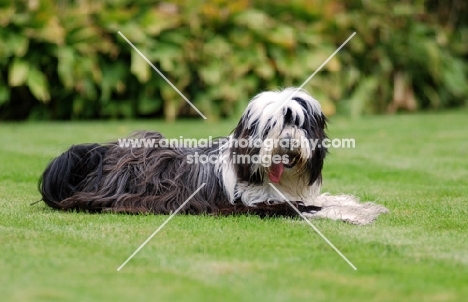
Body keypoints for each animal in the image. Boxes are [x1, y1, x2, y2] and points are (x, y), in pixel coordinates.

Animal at [37, 87, 388, 222]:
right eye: (272, 126)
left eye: (298, 124)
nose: (287, 142)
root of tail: (101, 154)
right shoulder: (260, 203)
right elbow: (314, 209)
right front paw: (357, 215)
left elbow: (327, 199)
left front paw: (363, 205)